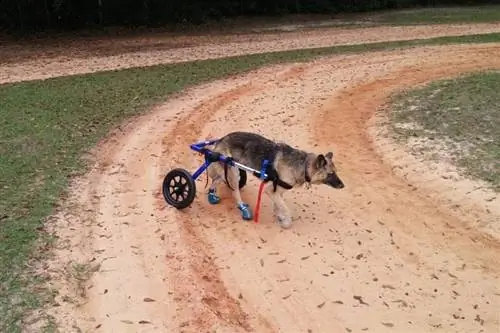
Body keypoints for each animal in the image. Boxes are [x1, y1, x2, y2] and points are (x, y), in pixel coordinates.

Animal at [205, 131, 346, 227]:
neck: (303, 165)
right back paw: (243, 208)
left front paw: (279, 215)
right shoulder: (270, 190)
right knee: (234, 192)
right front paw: (286, 221)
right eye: (331, 174)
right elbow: (286, 209)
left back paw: (212, 195)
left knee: (216, 180)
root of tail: (221, 139)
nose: (343, 186)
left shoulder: (277, 190)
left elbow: (279, 205)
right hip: (233, 170)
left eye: (336, 172)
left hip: (230, 171)